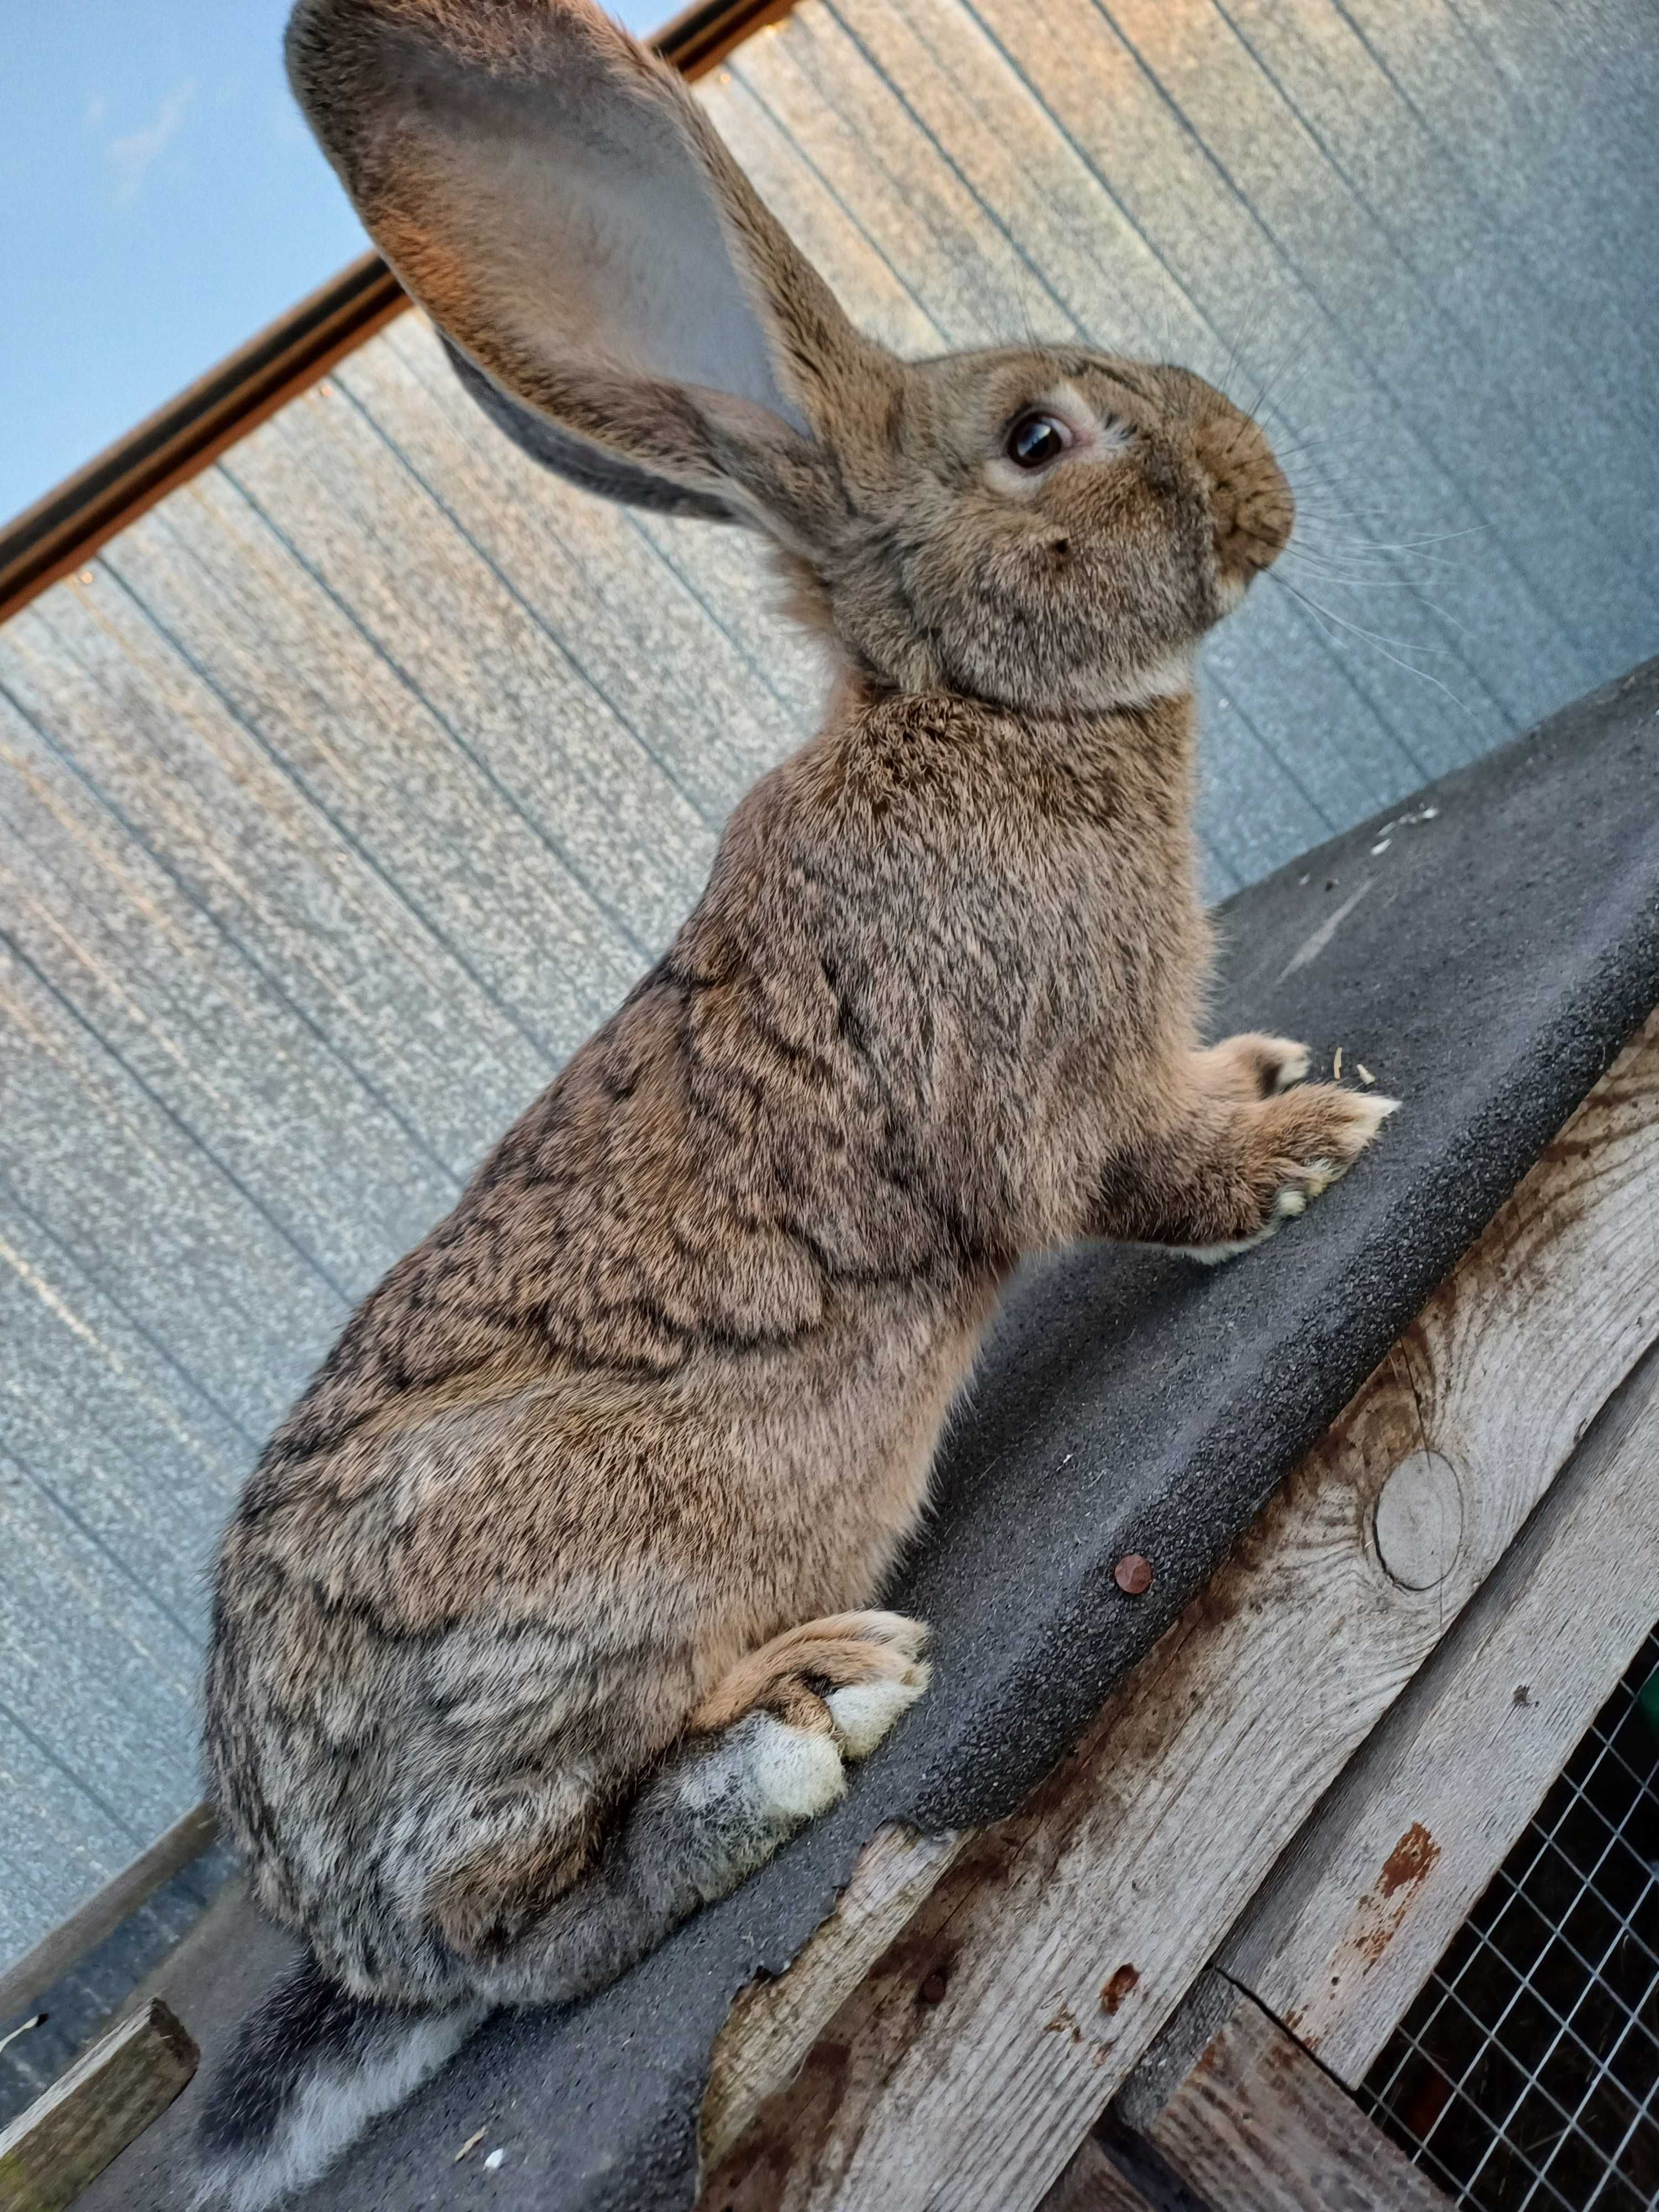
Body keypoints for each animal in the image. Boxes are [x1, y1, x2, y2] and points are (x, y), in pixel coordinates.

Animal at [198, 8, 1407, 2203]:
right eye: (1039, 437)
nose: (1260, 490)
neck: (971, 713)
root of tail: (325, 1904)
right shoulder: (1036, 1091)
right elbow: (1130, 1174)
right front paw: (1297, 1155)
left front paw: (1269, 1070)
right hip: (577, 1597)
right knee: (524, 1932)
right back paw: (793, 1724)